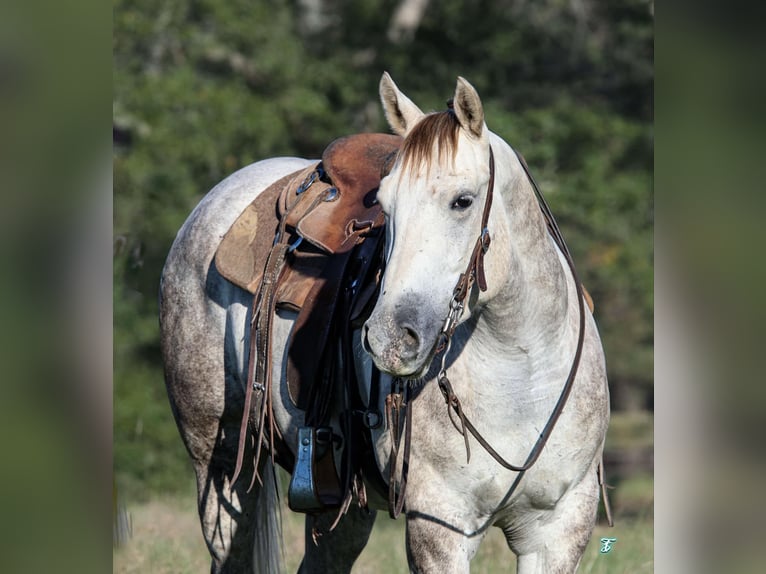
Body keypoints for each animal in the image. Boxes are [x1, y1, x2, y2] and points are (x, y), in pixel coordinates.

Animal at [162, 74, 612, 572]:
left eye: (462, 201)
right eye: (384, 205)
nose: (390, 339)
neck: (521, 373)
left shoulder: (559, 531)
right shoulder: (440, 526)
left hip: (336, 501)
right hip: (220, 465)